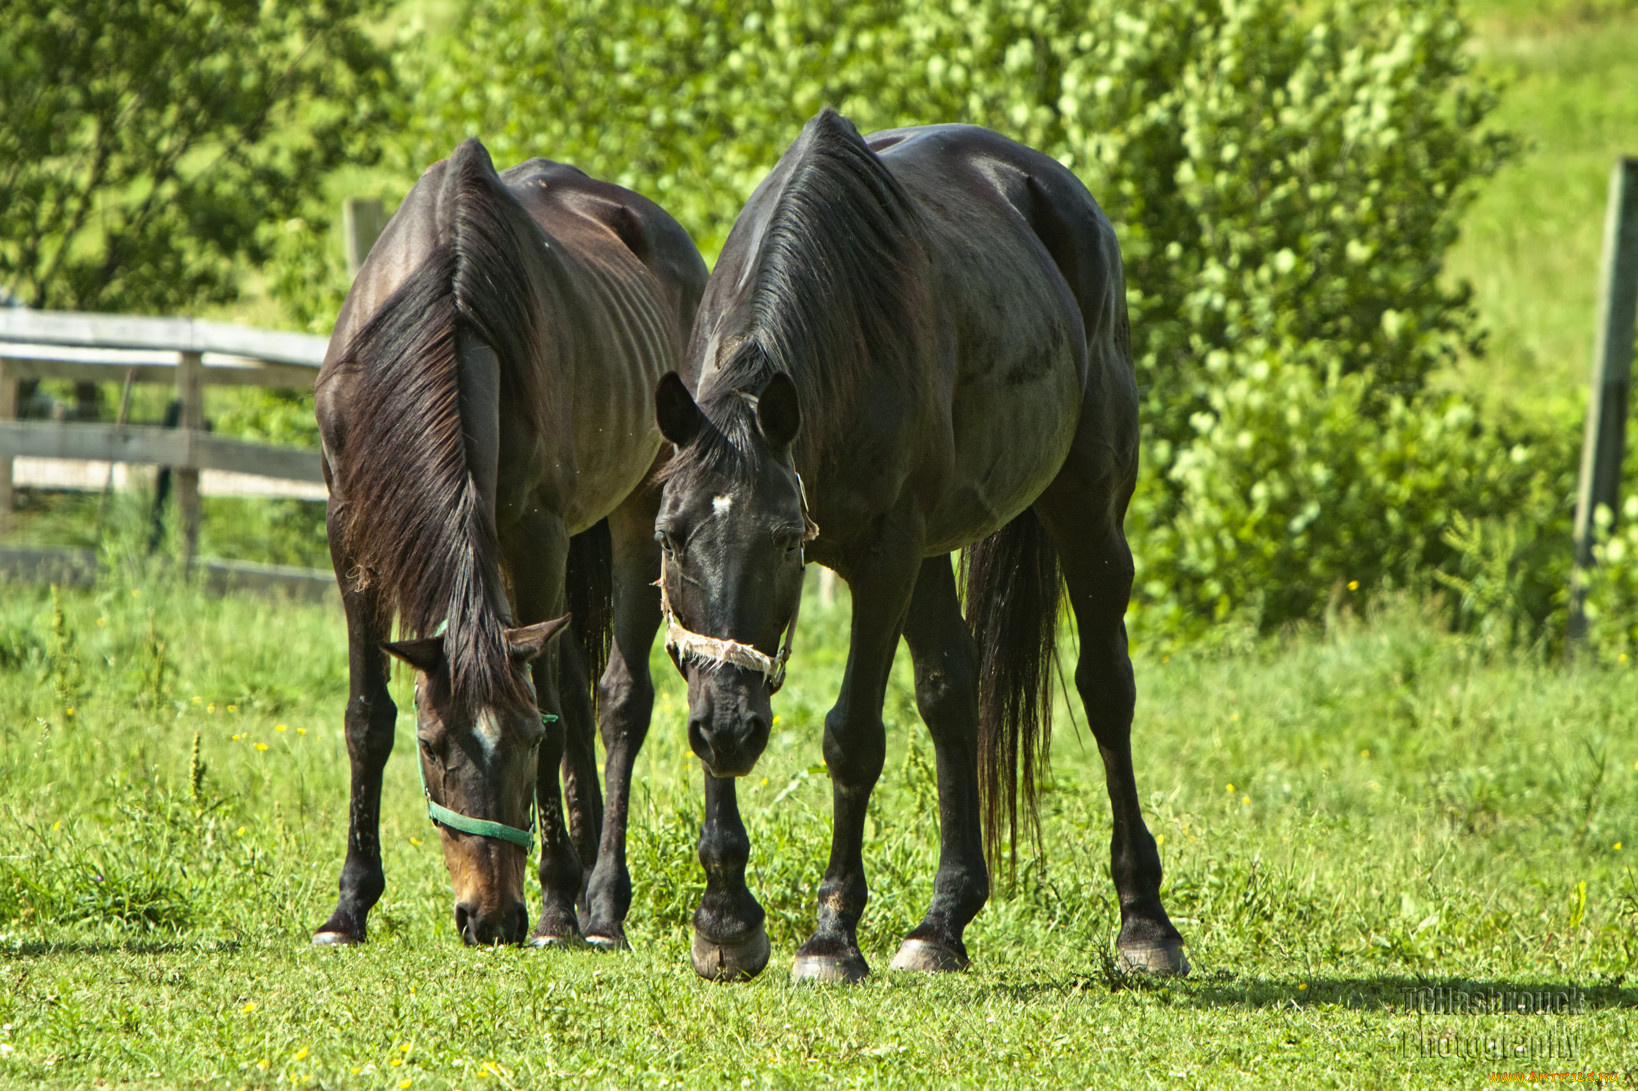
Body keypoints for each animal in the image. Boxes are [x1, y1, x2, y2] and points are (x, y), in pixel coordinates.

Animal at [312, 138, 704, 943]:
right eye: (432, 745)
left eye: (521, 741)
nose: (490, 919)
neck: (449, 310)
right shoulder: (349, 532)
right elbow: (367, 716)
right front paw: (350, 904)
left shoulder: (536, 533)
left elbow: (552, 708)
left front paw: (555, 902)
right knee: (580, 696)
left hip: (636, 511)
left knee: (618, 702)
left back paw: (600, 901)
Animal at [655, 110, 1192, 976]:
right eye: (670, 536)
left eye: (783, 540)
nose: (734, 727)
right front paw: (725, 921)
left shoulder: (886, 558)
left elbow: (852, 736)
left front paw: (831, 936)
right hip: (942, 551)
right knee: (951, 687)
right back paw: (942, 921)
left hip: (1087, 514)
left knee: (1108, 689)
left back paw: (1146, 923)